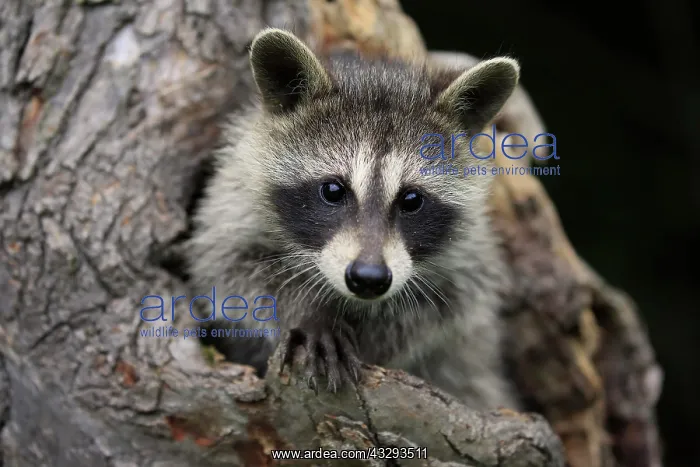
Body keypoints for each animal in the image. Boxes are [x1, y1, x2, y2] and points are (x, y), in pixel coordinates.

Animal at [186, 28, 521, 410]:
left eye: (411, 200)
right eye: (333, 190)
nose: (369, 278)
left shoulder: (469, 252)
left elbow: (440, 308)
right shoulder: (234, 200)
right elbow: (231, 270)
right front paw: (310, 312)